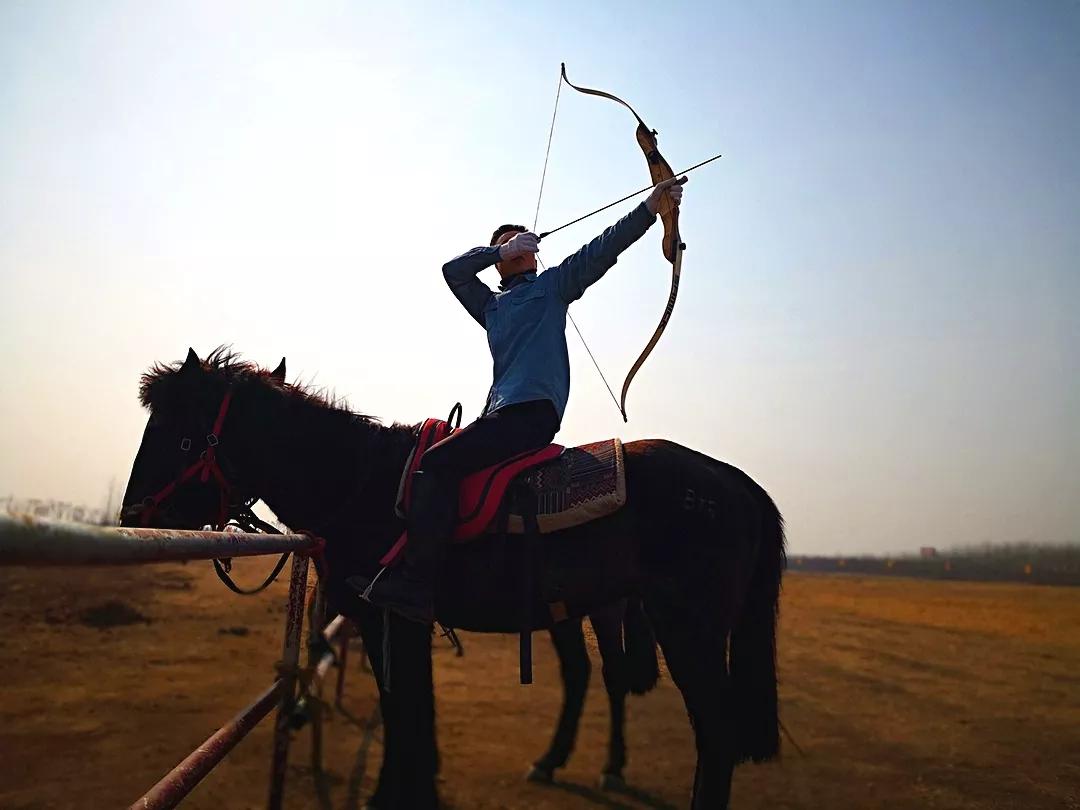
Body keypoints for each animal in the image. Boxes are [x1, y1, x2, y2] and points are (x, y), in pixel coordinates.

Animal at [120, 349, 786, 810]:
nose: (131, 515)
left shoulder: (389, 621)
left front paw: (393, 796)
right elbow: (413, 715)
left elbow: (405, 715)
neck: (362, 482)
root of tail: (736, 481)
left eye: (179, 436)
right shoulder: (400, 627)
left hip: (687, 630)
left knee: (714, 734)